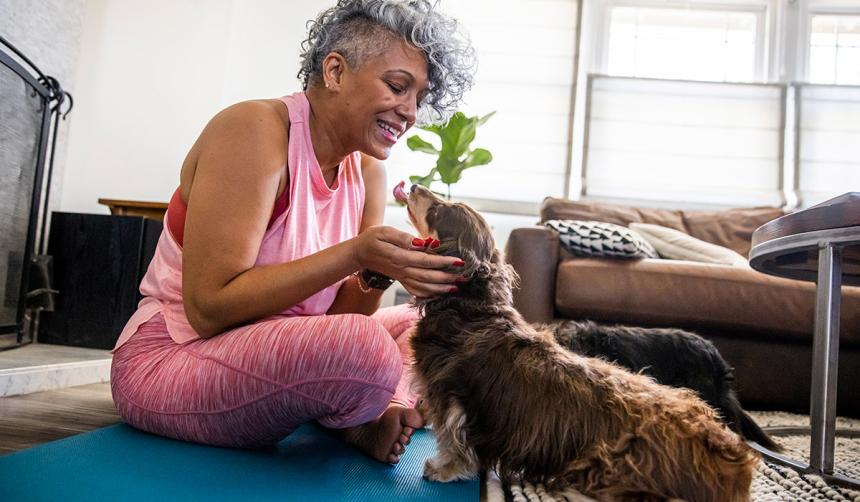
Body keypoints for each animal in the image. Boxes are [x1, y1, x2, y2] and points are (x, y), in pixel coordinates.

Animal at [400, 185, 756, 502]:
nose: (414, 185)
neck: (472, 307)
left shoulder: (450, 395)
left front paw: (444, 468)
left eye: (438, 211)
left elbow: (452, 439)